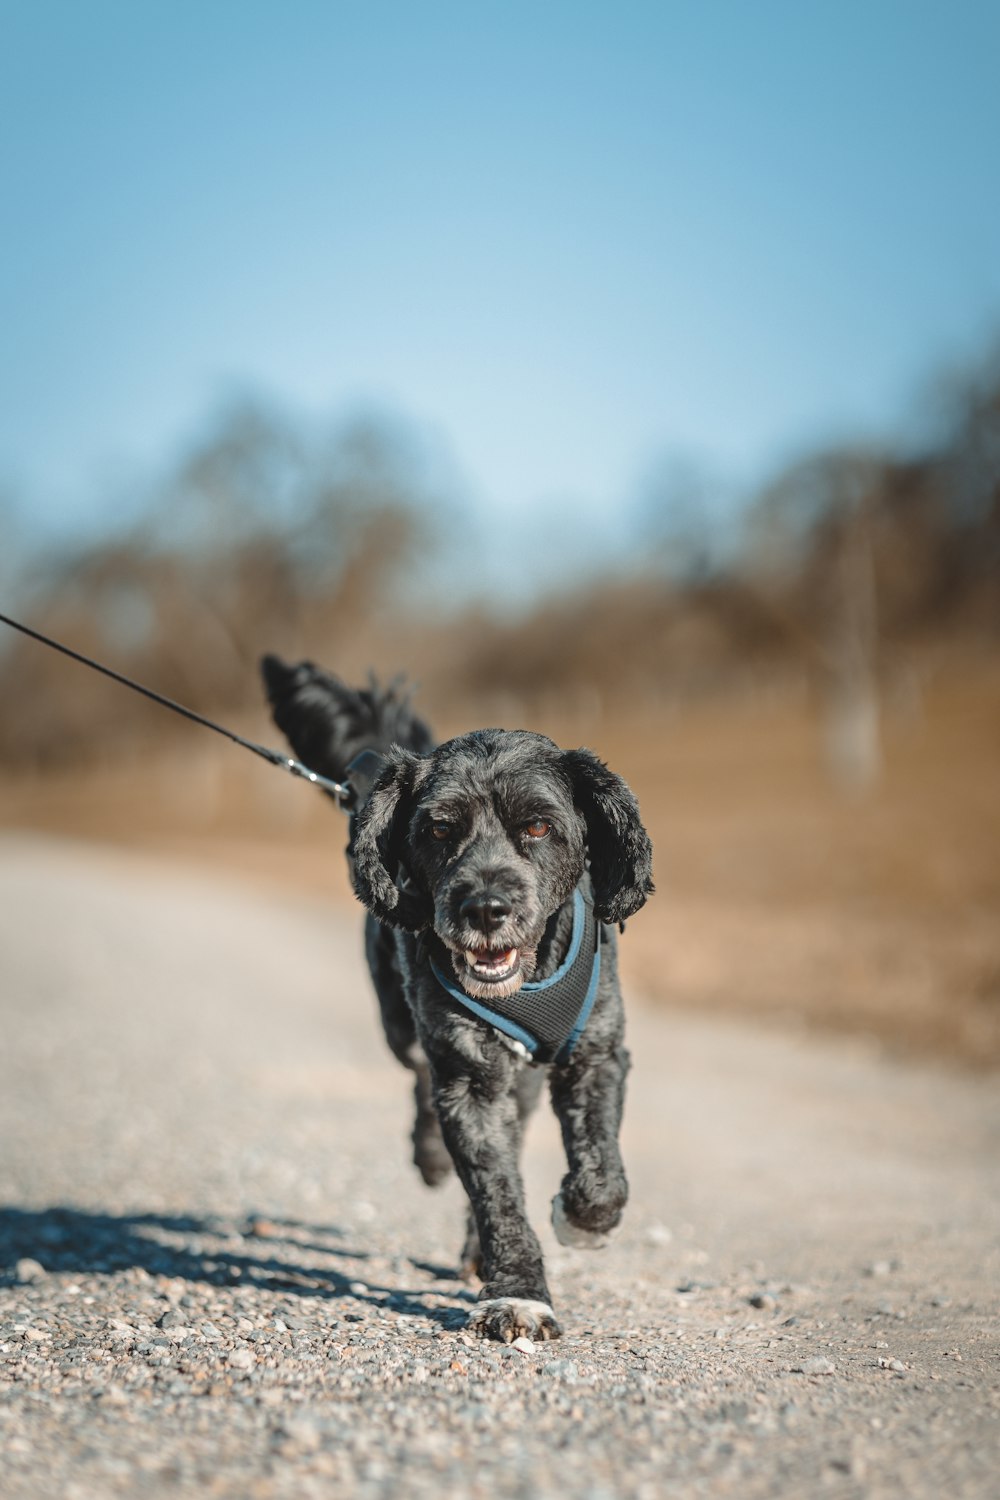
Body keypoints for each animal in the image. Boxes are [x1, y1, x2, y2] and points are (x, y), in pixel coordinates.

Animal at [262, 663, 653, 1344]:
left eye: (538, 826)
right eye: (440, 828)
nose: (485, 908)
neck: (528, 979)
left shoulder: (596, 1053)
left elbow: (602, 1173)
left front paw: (579, 1222)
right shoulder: (470, 1079)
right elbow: (496, 1193)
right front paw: (519, 1296)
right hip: (402, 1025)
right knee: (423, 1083)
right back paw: (430, 1156)